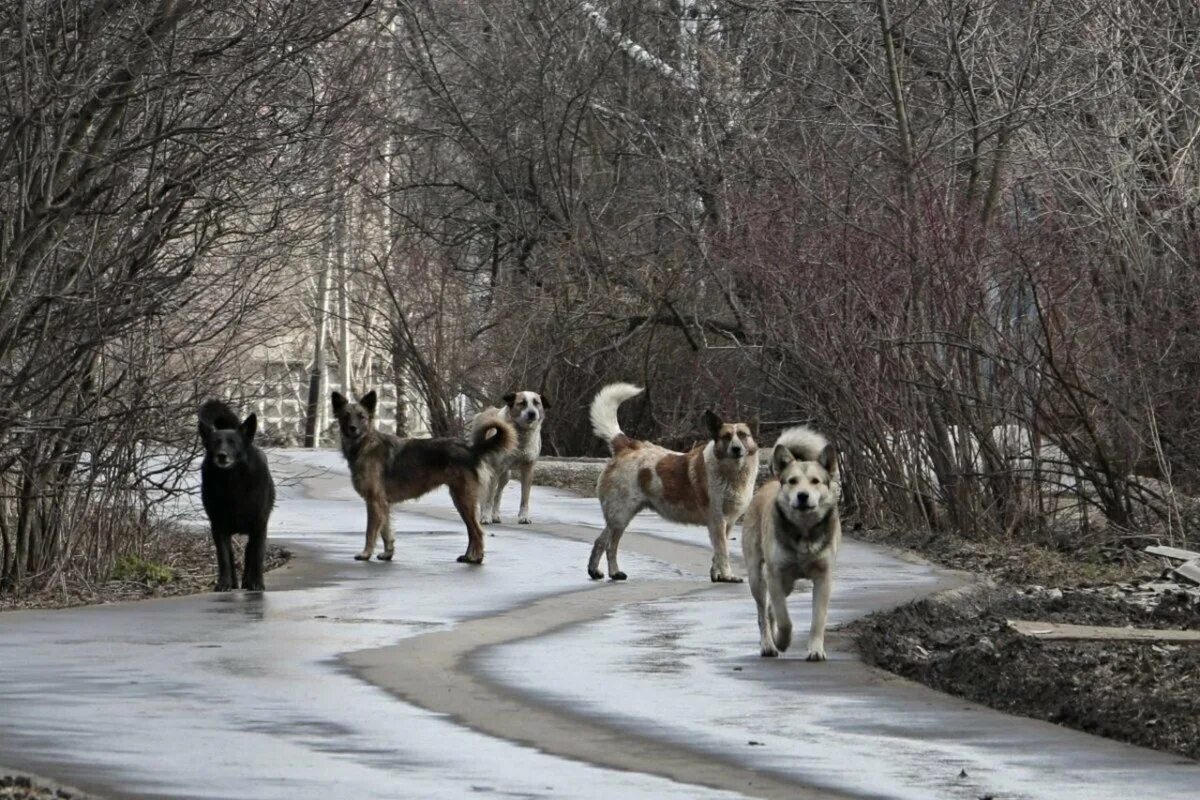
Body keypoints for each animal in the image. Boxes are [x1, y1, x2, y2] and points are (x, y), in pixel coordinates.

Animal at [198, 402, 274, 592]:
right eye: (214, 443)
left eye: (233, 443)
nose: (222, 455)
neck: (232, 482)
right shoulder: (218, 527)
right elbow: (224, 557)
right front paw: (224, 583)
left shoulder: (259, 526)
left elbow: (257, 556)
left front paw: (257, 583)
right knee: (232, 554)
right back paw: (233, 582)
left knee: (249, 552)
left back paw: (248, 581)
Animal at [333, 391, 516, 566]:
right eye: (346, 415)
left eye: (362, 417)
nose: (352, 428)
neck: (365, 444)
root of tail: (471, 449)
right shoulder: (382, 504)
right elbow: (386, 532)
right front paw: (387, 553)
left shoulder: (374, 502)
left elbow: (370, 532)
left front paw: (365, 554)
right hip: (460, 499)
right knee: (472, 532)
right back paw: (468, 556)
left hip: (463, 498)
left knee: (477, 531)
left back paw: (475, 558)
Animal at [468, 388, 549, 525]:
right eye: (522, 403)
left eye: (536, 402)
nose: (532, 413)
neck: (521, 434)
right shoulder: (495, 469)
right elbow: (488, 498)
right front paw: (486, 517)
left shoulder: (528, 468)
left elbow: (525, 497)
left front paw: (524, 517)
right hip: (488, 470)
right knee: (486, 494)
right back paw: (483, 513)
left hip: (505, 475)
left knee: (498, 495)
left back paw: (495, 515)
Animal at [583, 381, 758, 582]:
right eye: (726, 437)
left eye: (743, 435)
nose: (736, 449)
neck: (732, 473)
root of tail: (628, 446)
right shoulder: (717, 520)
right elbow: (723, 552)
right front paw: (728, 576)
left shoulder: (726, 523)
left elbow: (717, 553)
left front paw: (717, 575)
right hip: (621, 515)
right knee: (607, 543)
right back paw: (606, 572)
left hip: (620, 516)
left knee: (605, 542)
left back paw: (603, 572)